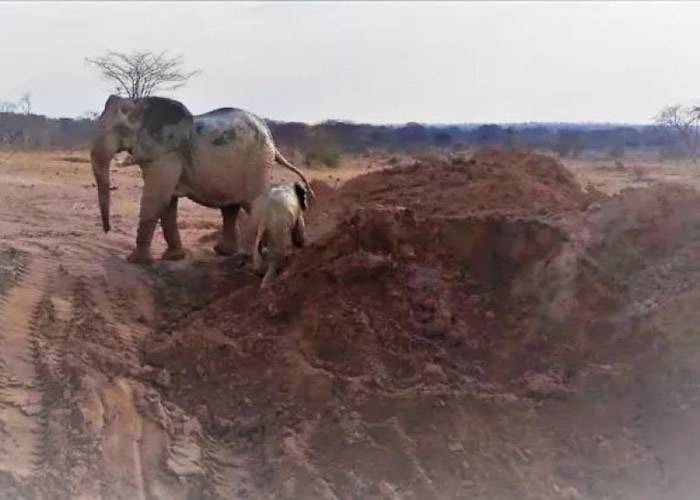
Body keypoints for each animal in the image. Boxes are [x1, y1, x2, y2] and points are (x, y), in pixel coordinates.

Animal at [91, 94, 314, 266]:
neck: (140, 105)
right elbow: (167, 202)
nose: (107, 230)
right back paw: (225, 252)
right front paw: (173, 258)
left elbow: (156, 199)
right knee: (230, 208)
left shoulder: (168, 153)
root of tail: (272, 141)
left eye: (120, 129)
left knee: (255, 203)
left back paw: (292, 249)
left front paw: (136, 261)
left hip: (257, 162)